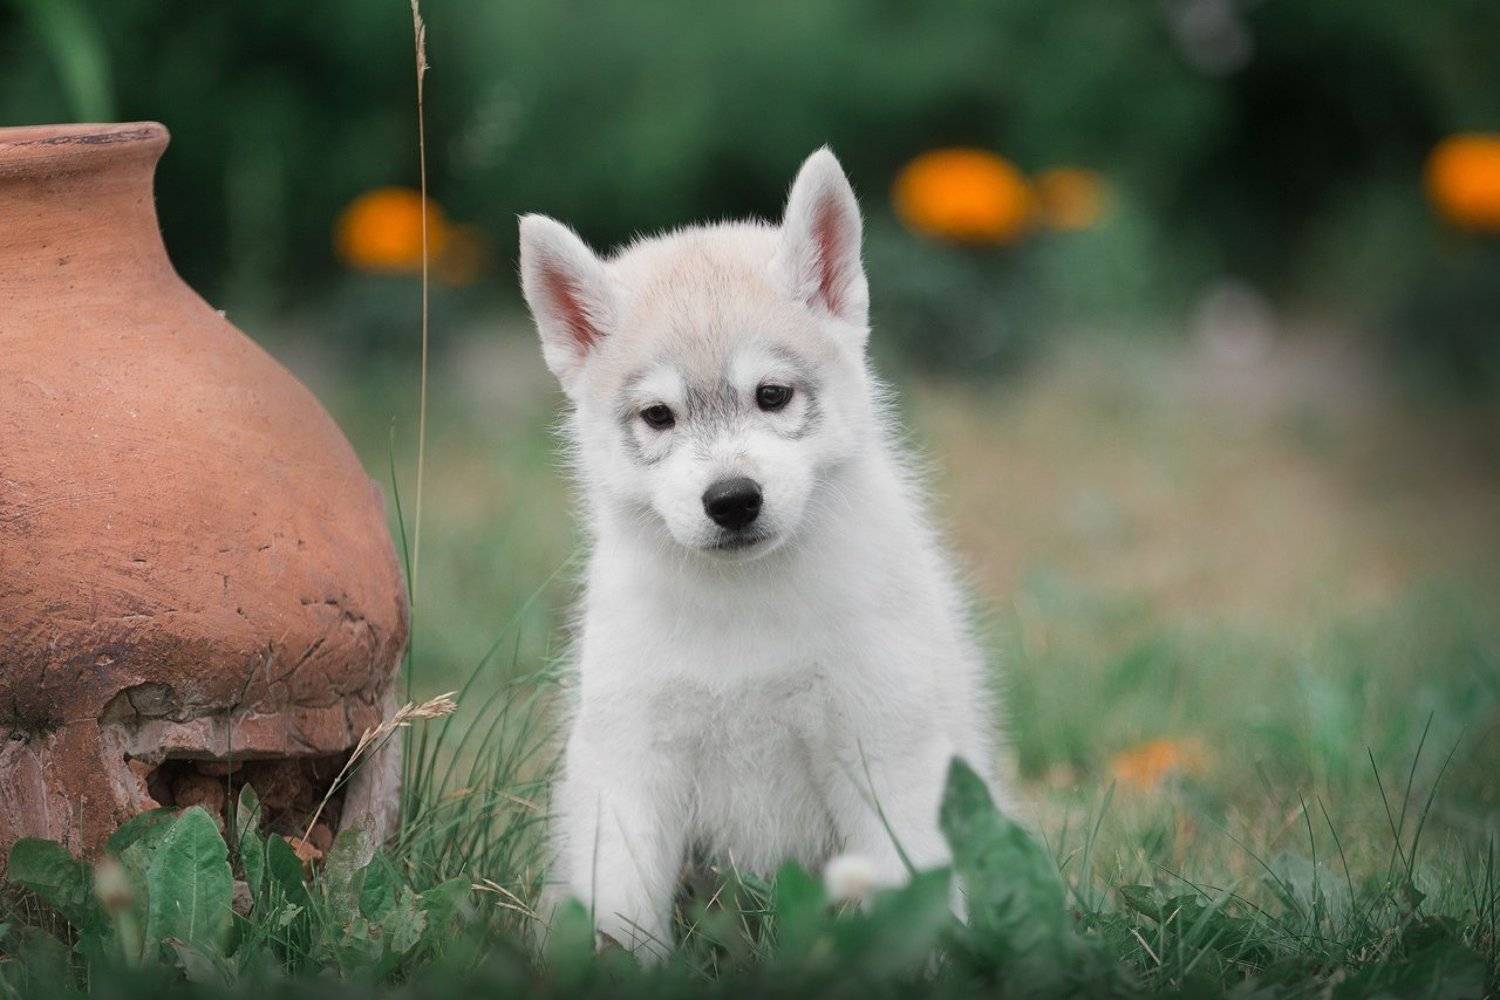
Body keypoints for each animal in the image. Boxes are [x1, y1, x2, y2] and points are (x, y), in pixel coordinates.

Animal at [518, 148, 1006, 960]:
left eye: (771, 395)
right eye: (659, 416)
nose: (732, 499)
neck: (745, 600)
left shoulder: (888, 749)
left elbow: (910, 894)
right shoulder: (629, 762)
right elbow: (620, 910)